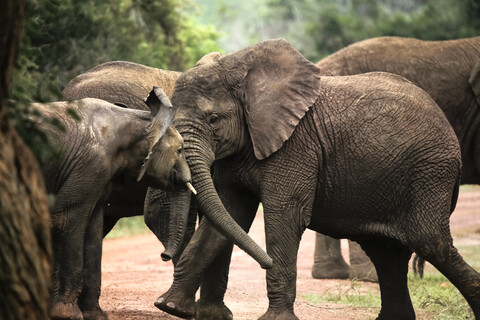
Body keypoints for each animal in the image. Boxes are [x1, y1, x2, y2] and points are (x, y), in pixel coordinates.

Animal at [31, 87, 195, 320]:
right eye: (180, 150)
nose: (163, 255)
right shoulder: (91, 164)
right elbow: (66, 220)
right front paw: (67, 315)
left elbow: (93, 231)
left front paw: (95, 316)